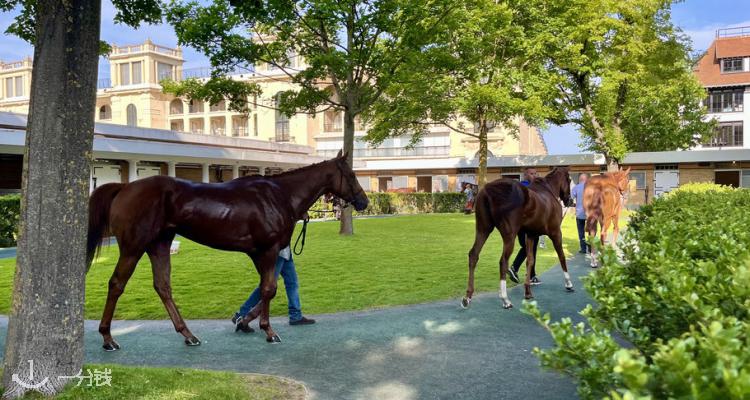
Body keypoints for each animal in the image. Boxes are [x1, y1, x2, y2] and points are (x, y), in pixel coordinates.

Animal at [86, 151, 369, 350]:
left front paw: (245, 321)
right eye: (352, 175)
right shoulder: (268, 250)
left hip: (159, 244)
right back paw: (108, 338)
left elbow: (267, 288)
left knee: (163, 286)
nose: (364, 201)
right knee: (116, 284)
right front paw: (268, 330)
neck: (279, 195)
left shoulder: (259, 253)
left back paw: (188, 335)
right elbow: (269, 289)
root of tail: (125, 187)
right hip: (133, 247)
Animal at [461, 167, 574, 310]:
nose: (570, 200)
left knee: (474, 255)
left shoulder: (530, 235)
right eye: (569, 180)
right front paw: (569, 283)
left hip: (483, 229)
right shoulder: (556, 233)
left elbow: (530, 260)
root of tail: (488, 190)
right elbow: (561, 256)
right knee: (503, 261)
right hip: (509, 235)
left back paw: (467, 297)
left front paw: (528, 291)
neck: (548, 191)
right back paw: (505, 299)